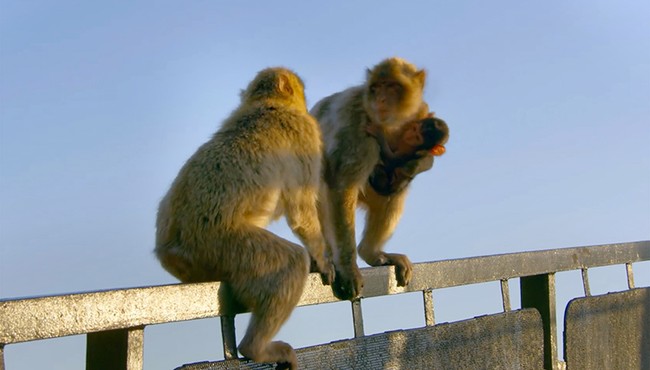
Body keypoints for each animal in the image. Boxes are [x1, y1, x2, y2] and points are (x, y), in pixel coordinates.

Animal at [154, 67, 332, 370]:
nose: (308, 104)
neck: (267, 103)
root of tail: (173, 251)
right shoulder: (305, 132)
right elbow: (301, 209)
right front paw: (323, 257)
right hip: (224, 247)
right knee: (290, 262)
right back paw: (256, 348)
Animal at [312, 57, 428, 300]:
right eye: (376, 88)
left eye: (392, 86)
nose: (381, 99)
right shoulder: (357, 124)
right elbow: (342, 186)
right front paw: (348, 269)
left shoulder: (420, 113)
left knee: (394, 192)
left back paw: (370, 252)